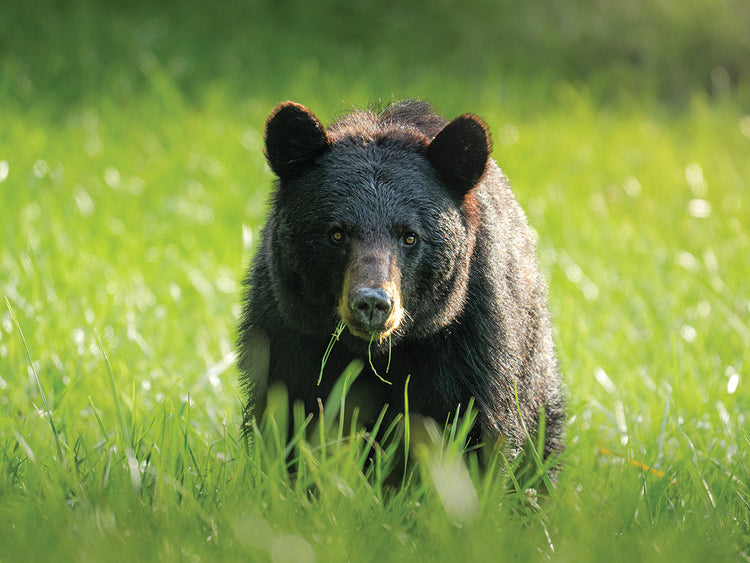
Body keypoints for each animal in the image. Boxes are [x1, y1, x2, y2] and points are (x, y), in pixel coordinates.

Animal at [238, 99, 565, 471]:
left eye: (410, 236)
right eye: (336, 233)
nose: (372, 303)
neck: (377, 352)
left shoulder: (470, 342)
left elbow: (471, 428)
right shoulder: (287, 331)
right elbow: (291, 412)